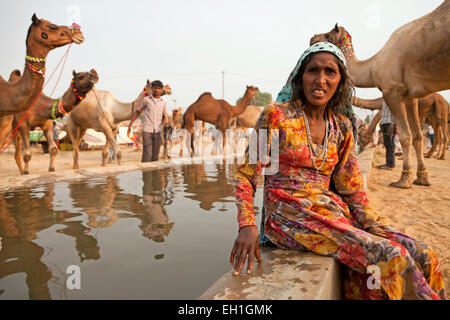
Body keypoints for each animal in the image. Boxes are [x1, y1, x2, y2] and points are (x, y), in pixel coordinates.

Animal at [312, 0, 450, 188]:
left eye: (327, 35)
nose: (312, 37)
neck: (373, 65)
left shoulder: (392, 90)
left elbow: (405, 136)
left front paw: (404, 179)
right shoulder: (411, 96)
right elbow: (417, 137)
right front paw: (422, 178)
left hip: (441, 112)